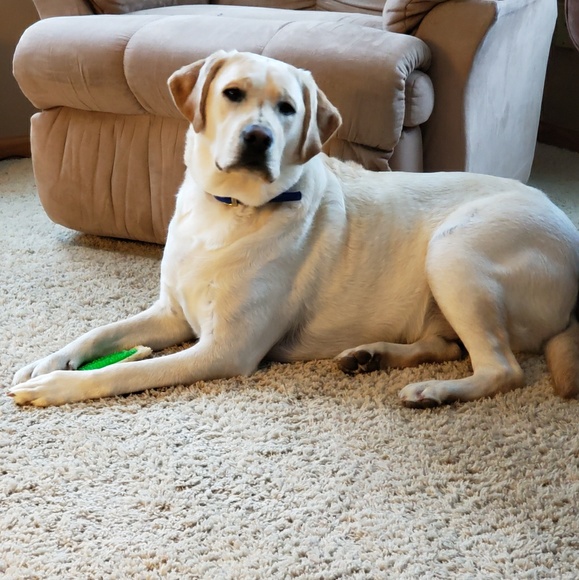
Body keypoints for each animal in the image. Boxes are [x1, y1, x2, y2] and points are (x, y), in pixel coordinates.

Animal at [9, 50, 579, 407]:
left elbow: (125, 370)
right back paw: (370, 357)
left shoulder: (224, 349)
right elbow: (99, 333)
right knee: (450, 346)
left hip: (453, 251)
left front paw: (56, 387)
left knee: (501, 368)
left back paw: (434, 392)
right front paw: (45, 363)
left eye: (288, 108)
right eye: (232, 93)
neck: (228, 209)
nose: (259, 137)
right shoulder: (172, 312)